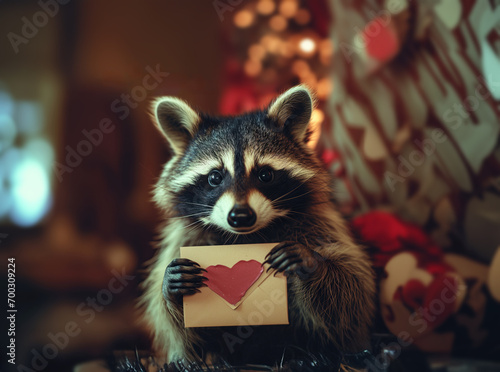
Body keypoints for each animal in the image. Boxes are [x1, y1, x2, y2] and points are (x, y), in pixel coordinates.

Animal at [139, 85, 374, 368]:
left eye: (265, 175)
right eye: (215, 177)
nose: (240, 216)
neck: (245, 237)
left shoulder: (320, 223)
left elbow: (350, 302)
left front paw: (311, 262)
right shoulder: (186, 238)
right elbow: (186, 336)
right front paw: (170, 290)